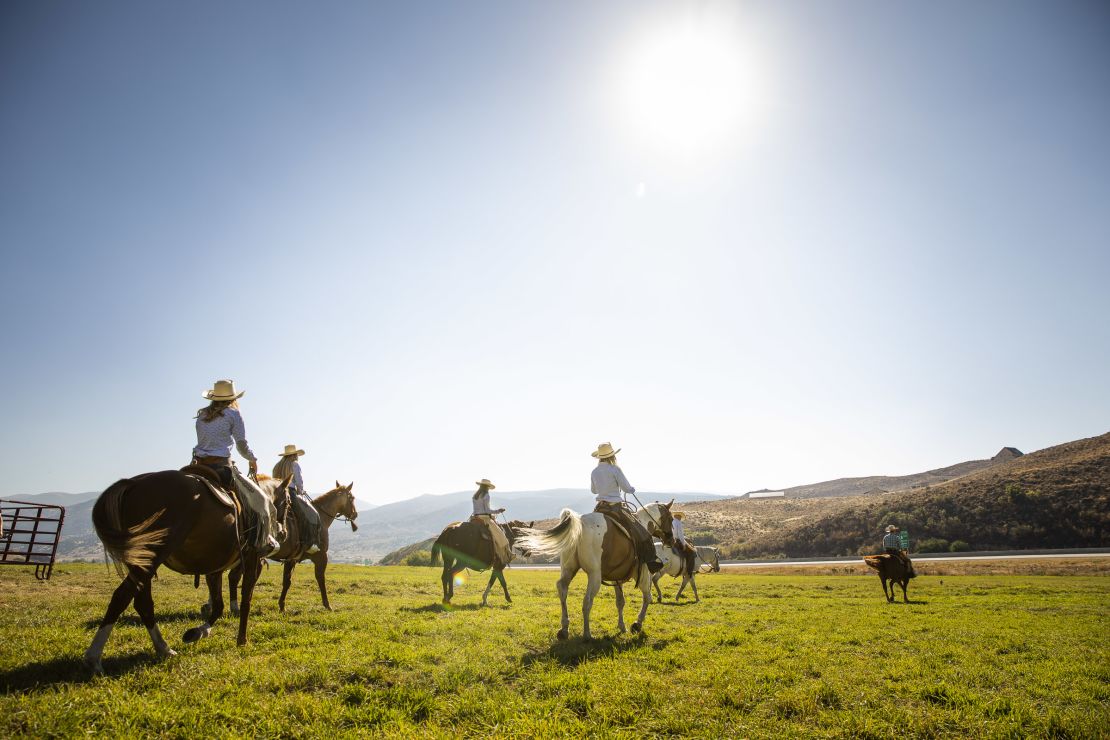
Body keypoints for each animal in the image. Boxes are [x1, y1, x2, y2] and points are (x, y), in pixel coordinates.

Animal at [85, 472, 290, 674]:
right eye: (288, 502)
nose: (283, 533)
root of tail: (132, 484)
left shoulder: (214, 569)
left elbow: (218, 605)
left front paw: (198, 632)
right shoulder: (253, 561)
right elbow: (245, 601)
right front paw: (241, 640)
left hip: (142, 561)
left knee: (143, 603)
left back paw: (164, 648)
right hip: (151, 557)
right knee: (122, 596)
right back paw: (94, 658)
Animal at [517, 503, 670, 643]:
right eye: (670, 517)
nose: (670, 539)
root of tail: (579, 524)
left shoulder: (616, 578)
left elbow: (620, 601)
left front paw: (622, 626)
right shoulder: (643, 574)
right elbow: (647, 597)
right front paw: (637, 624)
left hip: (569, 569)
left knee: (562, 588)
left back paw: (564, 629)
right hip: (594, 575)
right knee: (587, 601)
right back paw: (587, 634)